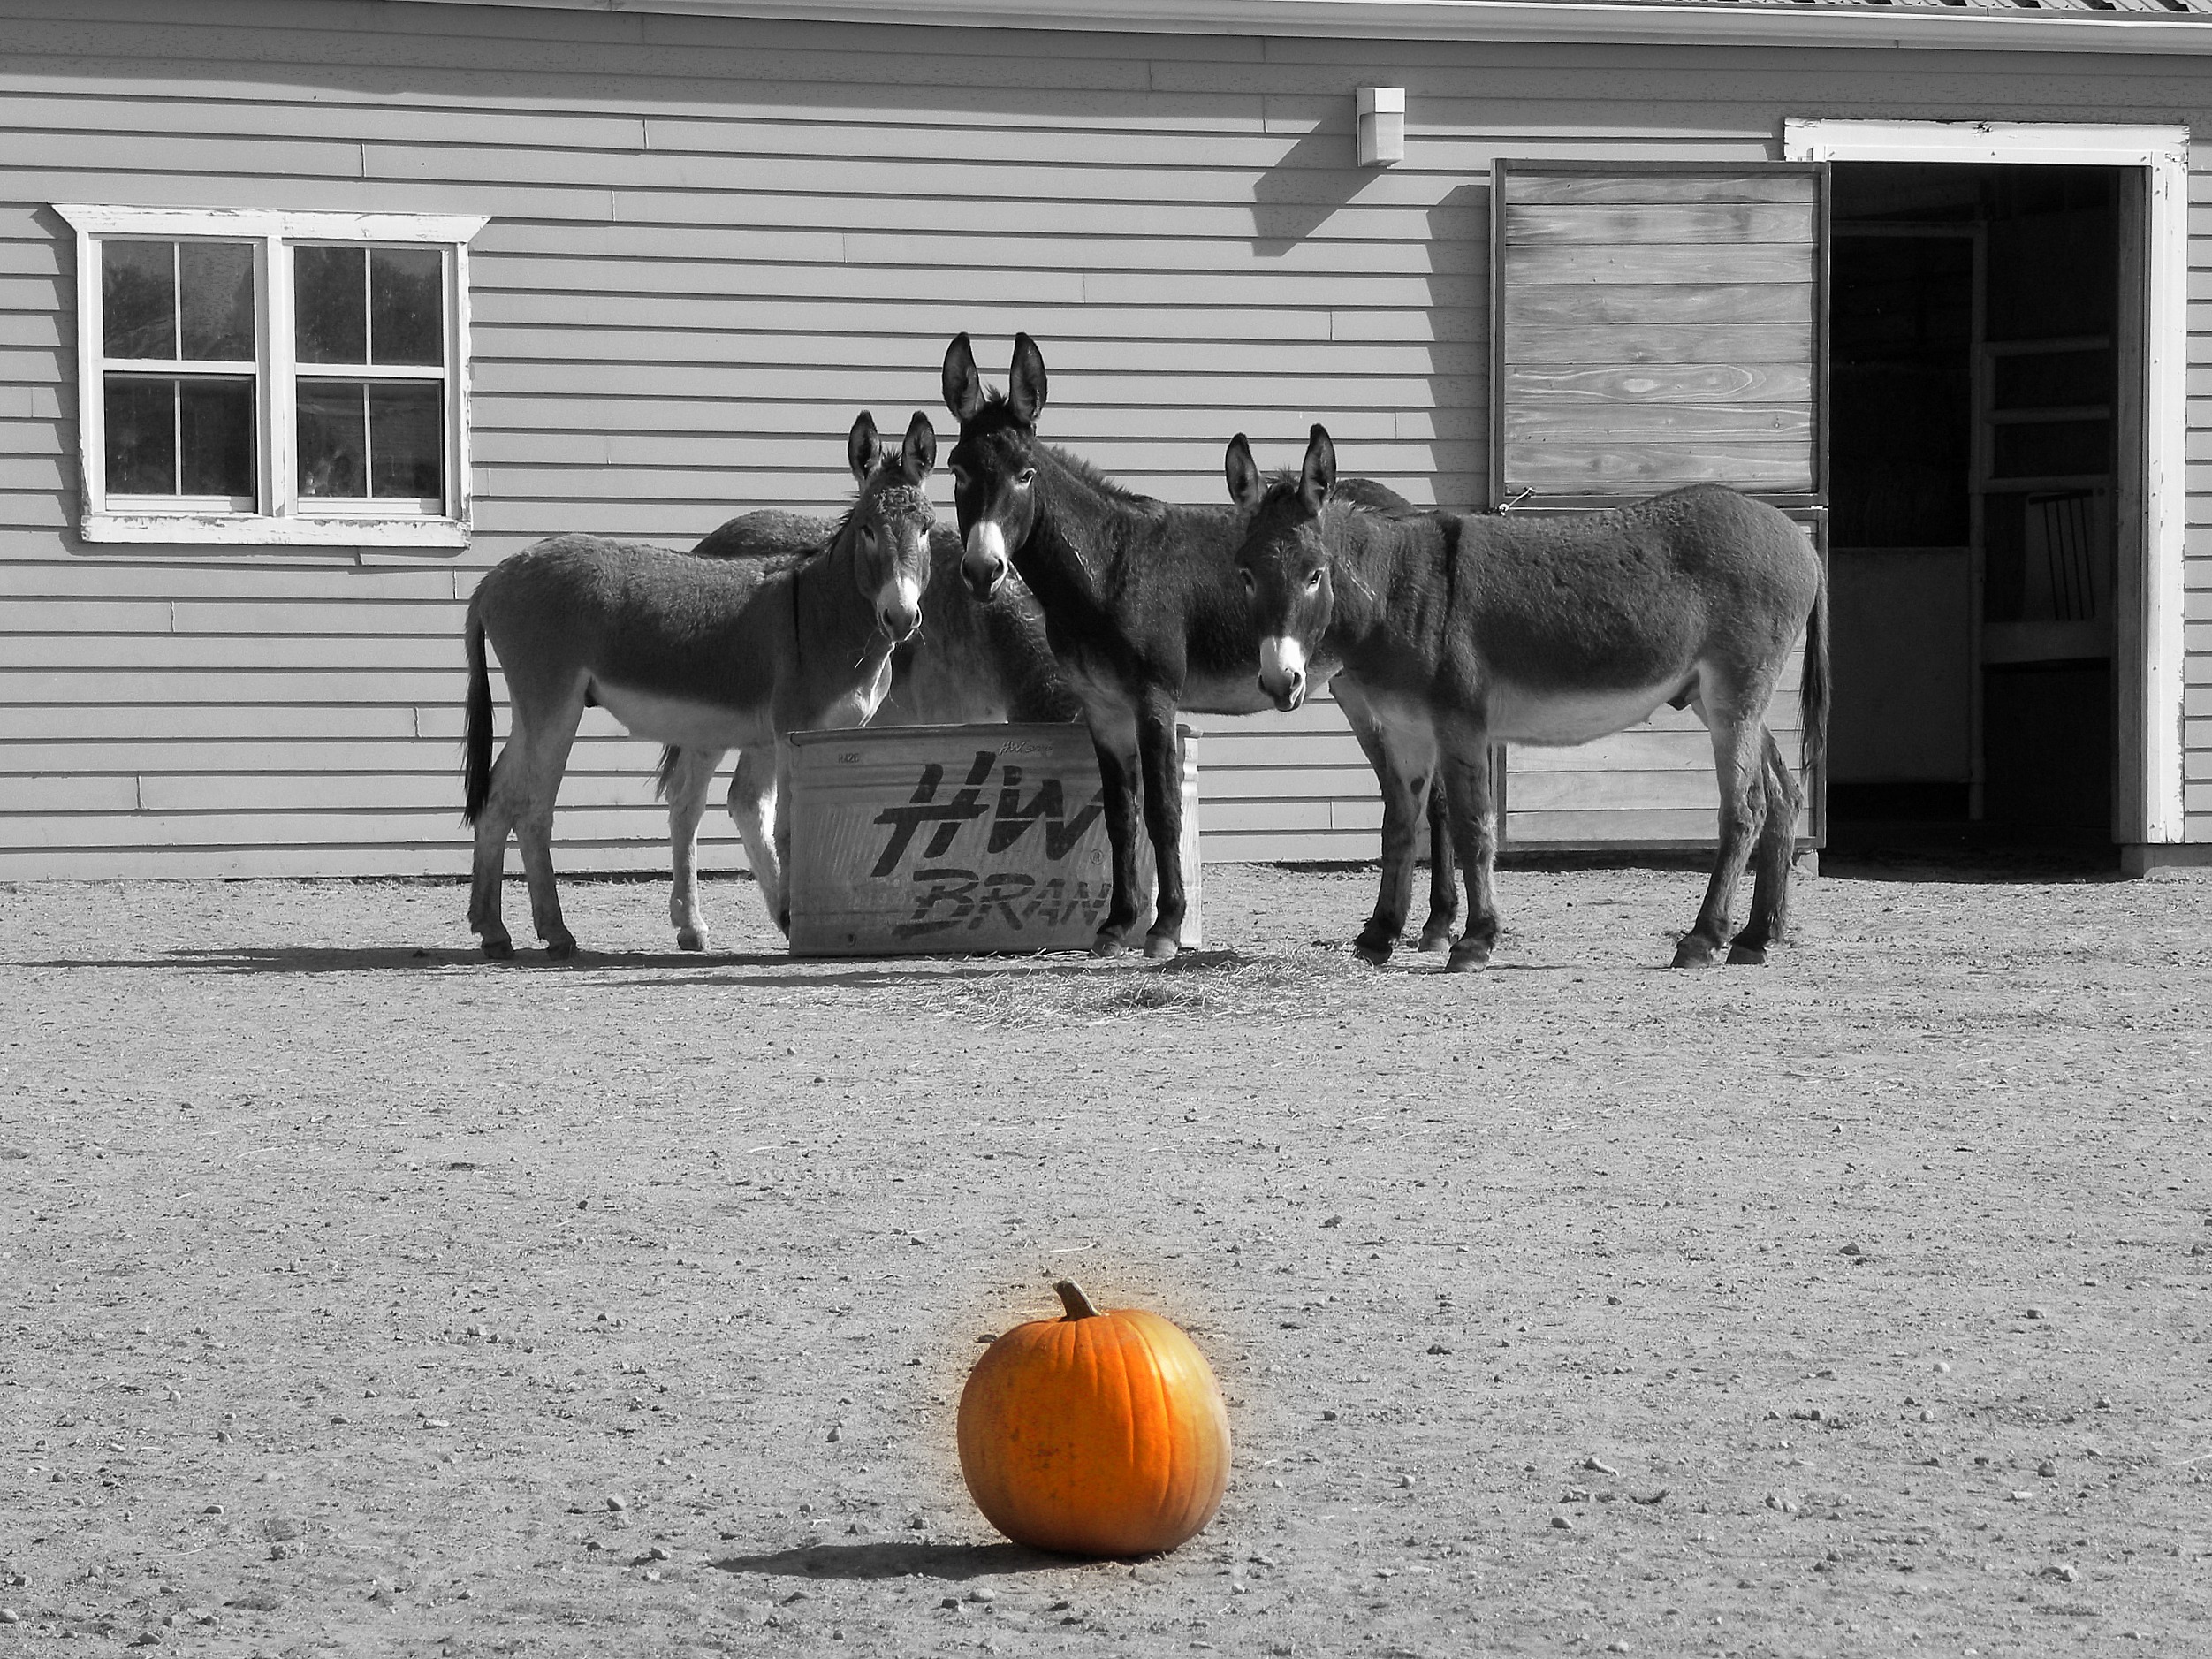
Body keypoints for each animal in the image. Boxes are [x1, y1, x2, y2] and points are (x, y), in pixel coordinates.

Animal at [461, 410, 938, 959]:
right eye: (867, 530)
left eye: (926, 528)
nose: (900, 617)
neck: (824, 611)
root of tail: (493, 576)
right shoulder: (789, 732)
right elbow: (788, 825)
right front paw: (795, 923)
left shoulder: (803, 734)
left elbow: (779, 813)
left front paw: (787, 916)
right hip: (554, 708)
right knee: (533, 807)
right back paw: (556, 933)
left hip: (534, 711)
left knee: (497, 796)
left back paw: (493, 930)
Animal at [941, 331, 1457, 961]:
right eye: (958, 470)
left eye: (1025, 472)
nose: (982, 570)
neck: (1109, 566)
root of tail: (1407, 509)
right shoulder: (1101, 707)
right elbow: (1120, 814)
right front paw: (1116, 925)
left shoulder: (1155, 696)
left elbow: (1163, 810)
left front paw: (1164, 927)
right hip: (1355, 688)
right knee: (1406, 791)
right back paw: (1401, 927)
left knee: (1435, 799)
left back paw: (1437, 926)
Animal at [1231, 425, 1827, 972]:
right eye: (1245, 574)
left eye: (1315, 575)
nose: (1280, 681)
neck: (1396, 591)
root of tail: (1797, 539)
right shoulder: (1402, 728)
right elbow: (1399, 823)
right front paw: (1380, 935)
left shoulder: (1459, 724)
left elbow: (1473, 825)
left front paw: (1474, 940)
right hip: (1715, 696)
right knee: (1783, 795)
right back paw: (1755, 937)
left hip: (1735, 692)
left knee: (1744, 807)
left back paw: (1703, 939)